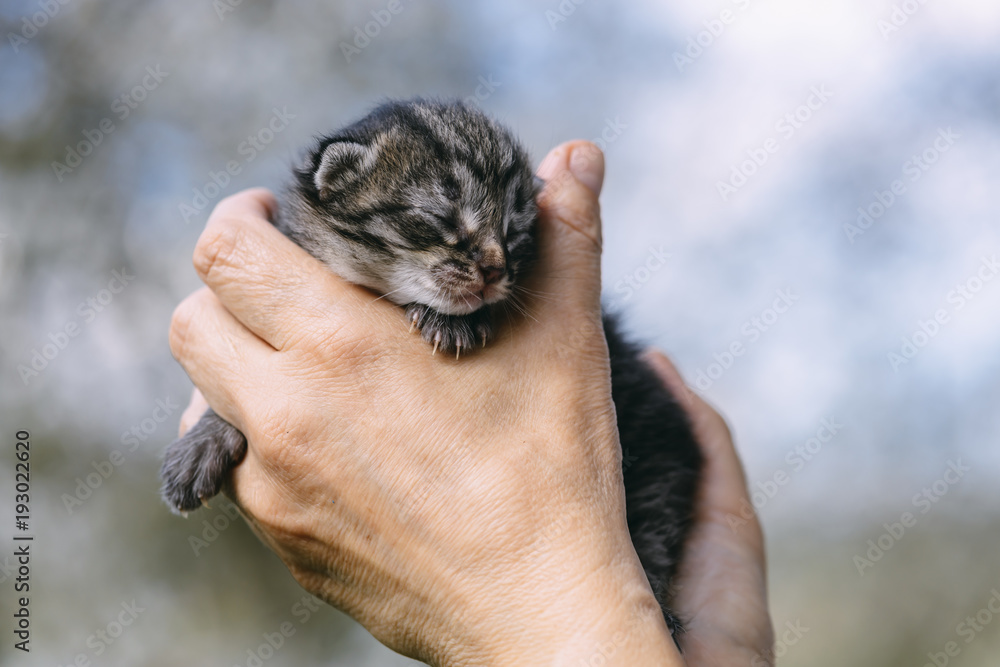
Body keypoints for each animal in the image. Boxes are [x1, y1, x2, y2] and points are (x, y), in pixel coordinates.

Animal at [158, 98, 704, 636]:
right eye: (442, 218)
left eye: (514, 232)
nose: (495, 270)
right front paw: (204, 438)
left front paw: (453, 320)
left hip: (659, 441)